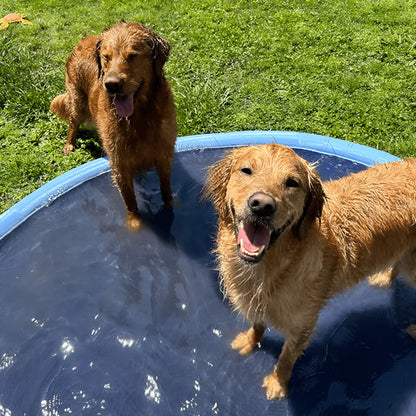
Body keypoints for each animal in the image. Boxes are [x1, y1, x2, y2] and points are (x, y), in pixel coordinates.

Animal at [50, 21, 177, 231]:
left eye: (133, 55)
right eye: (106, 58)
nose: (111, 84)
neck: (139, 116)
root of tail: (84, 39)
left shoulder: (164, 155)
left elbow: (166, 190)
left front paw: (170, 209)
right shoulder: (120, 164)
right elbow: (130, 201)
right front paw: (134, 223)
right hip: (77, 102)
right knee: (72, 123)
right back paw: (69, 144)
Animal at [204, 143, 416, 400]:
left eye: (292, 183)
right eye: (246, 170)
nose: (262, 205)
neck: (270, 267)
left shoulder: (302, 324)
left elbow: (286, 358)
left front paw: (277, 383)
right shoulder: (258, 302)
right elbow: (258, 324)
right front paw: (249, 341)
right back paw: (384, 278)